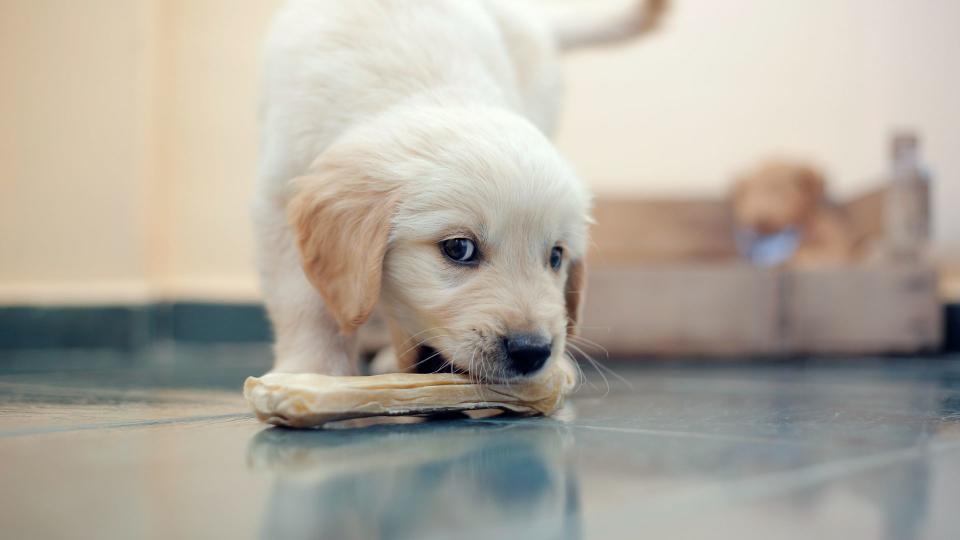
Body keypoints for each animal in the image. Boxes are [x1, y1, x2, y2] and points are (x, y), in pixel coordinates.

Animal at [251, 0, 664, 380]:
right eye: (459, 249)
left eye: (556, 256)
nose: (532, 351)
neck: (419, 83)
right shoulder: (279, 197)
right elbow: (304, 301)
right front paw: (312, 371)